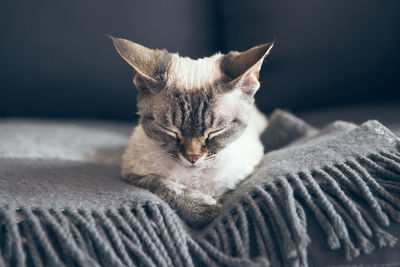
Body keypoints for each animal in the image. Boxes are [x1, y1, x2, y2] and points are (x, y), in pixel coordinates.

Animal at [110, 36, 272, 228]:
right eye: (169, 130)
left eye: (215, 131)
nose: (192, 157)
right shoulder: (133, 173)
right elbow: (164, 186)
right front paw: (201, 209)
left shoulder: (246, 172)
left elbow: (230, 193)